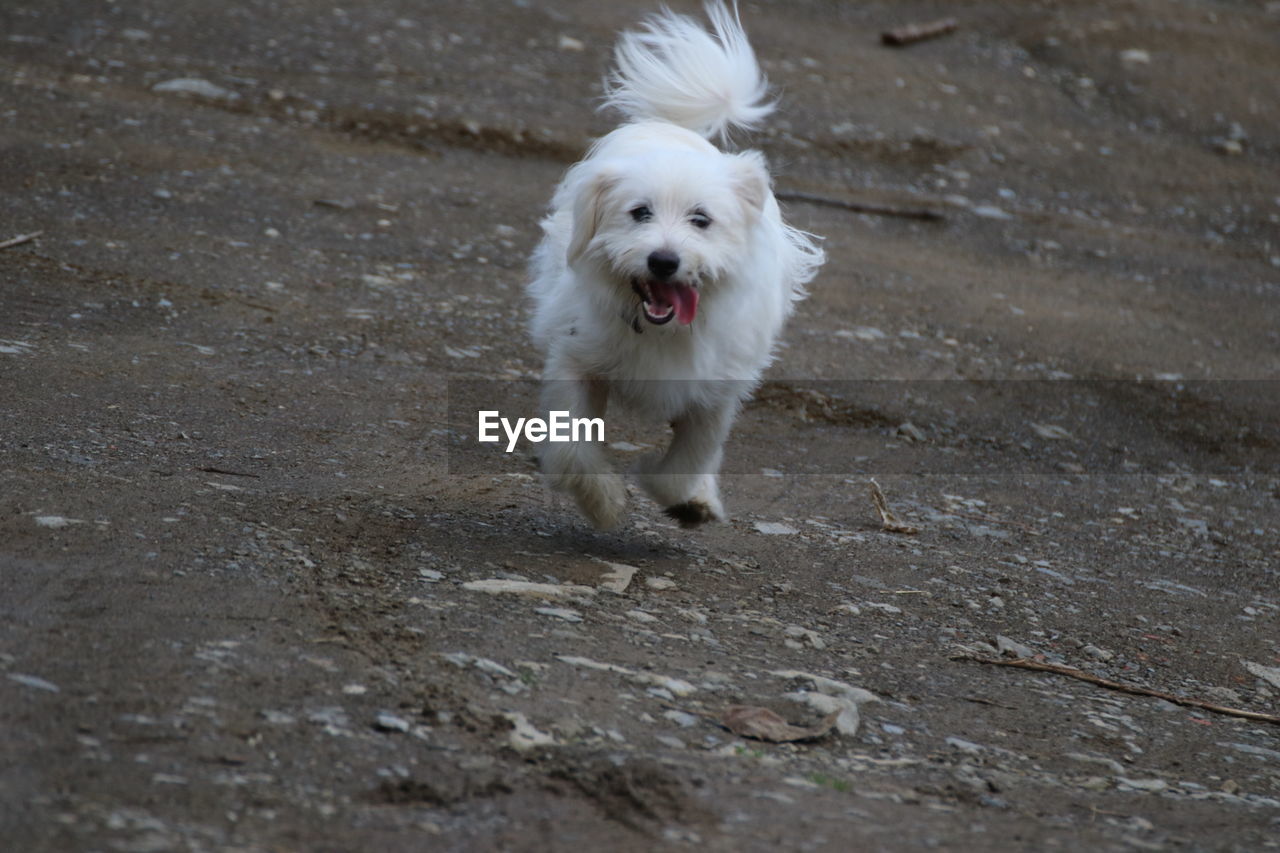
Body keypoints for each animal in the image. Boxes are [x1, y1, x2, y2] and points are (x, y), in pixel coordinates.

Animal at [527, 1, 819, 525]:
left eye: (701, 220)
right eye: (639, 213)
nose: (663, 260)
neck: (661, 331)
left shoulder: (718, 388)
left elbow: (696, 449)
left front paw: (685, 495)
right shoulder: (576, 359)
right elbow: (573, 446)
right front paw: (604, 501)